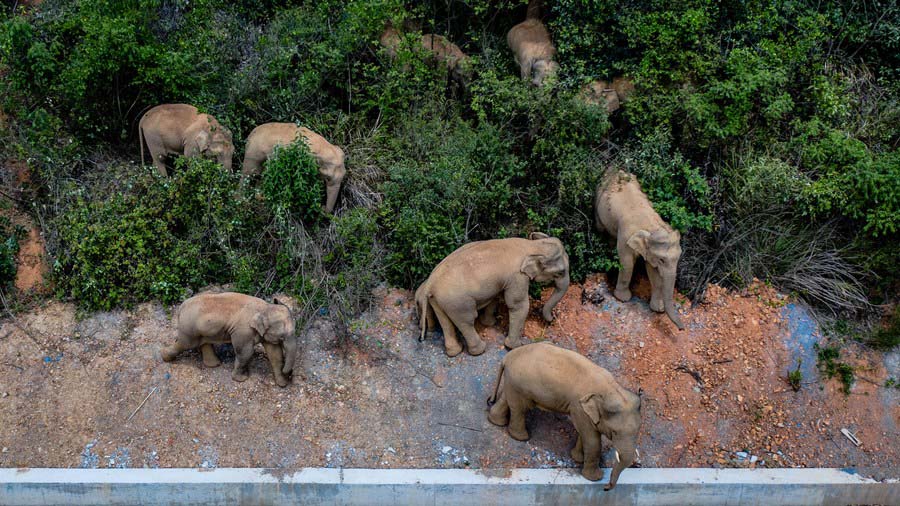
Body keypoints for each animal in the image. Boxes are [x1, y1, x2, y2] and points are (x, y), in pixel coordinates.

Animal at [162, 292, 298, 388]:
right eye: (282, 337)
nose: (290, 374)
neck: (265, 307)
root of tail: (180, 307)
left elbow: (275, 354)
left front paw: (282, 383)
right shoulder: (243, 331)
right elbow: (246, 353)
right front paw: (241, 379)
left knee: (204, 342)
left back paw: (214, 364)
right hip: (189, 328)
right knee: (185, 344)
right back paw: (165, 357)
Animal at [414, 233, 568, 356]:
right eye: (560, 272)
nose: (552, 320)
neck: (532, 246)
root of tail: (430, 283)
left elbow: (495, 297)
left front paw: (490, 323)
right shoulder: (517, 277)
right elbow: (518, 305)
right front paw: (515, 346)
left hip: (438, 300)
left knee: (445, 321)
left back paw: (454, 352)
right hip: (457, 302)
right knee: (467, 320)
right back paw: (479, 350)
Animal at [488, 342, 644, 488]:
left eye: (637, 431)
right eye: (614, 432)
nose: (606, 487)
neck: (611, 389)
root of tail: (508, 356)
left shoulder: (582, 410)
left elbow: (584, 433)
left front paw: (577, 459)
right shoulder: (579, 407)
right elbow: (592, 440)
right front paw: (595, 478)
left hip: (513, 382)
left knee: (507, 399)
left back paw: (496, 421)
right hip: (520, 383)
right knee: (520, 408)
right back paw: (521, 438)